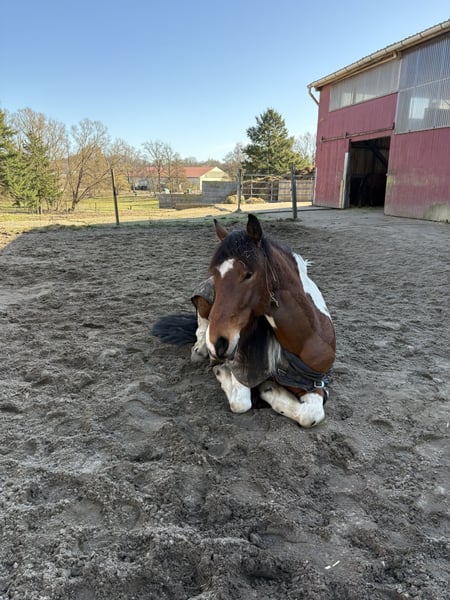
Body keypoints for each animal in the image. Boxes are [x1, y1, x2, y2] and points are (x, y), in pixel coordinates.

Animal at [152, 214, 336, 428]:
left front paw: (271, 391)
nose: (218, 343)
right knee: (201, 324)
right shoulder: (240, 366)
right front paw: (259, 387)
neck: (305, 340)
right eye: (215, 274)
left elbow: (312, 414)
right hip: (205, 301)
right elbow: (241, 402)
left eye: (249, 274)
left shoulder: (313, 384)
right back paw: (200, 348)